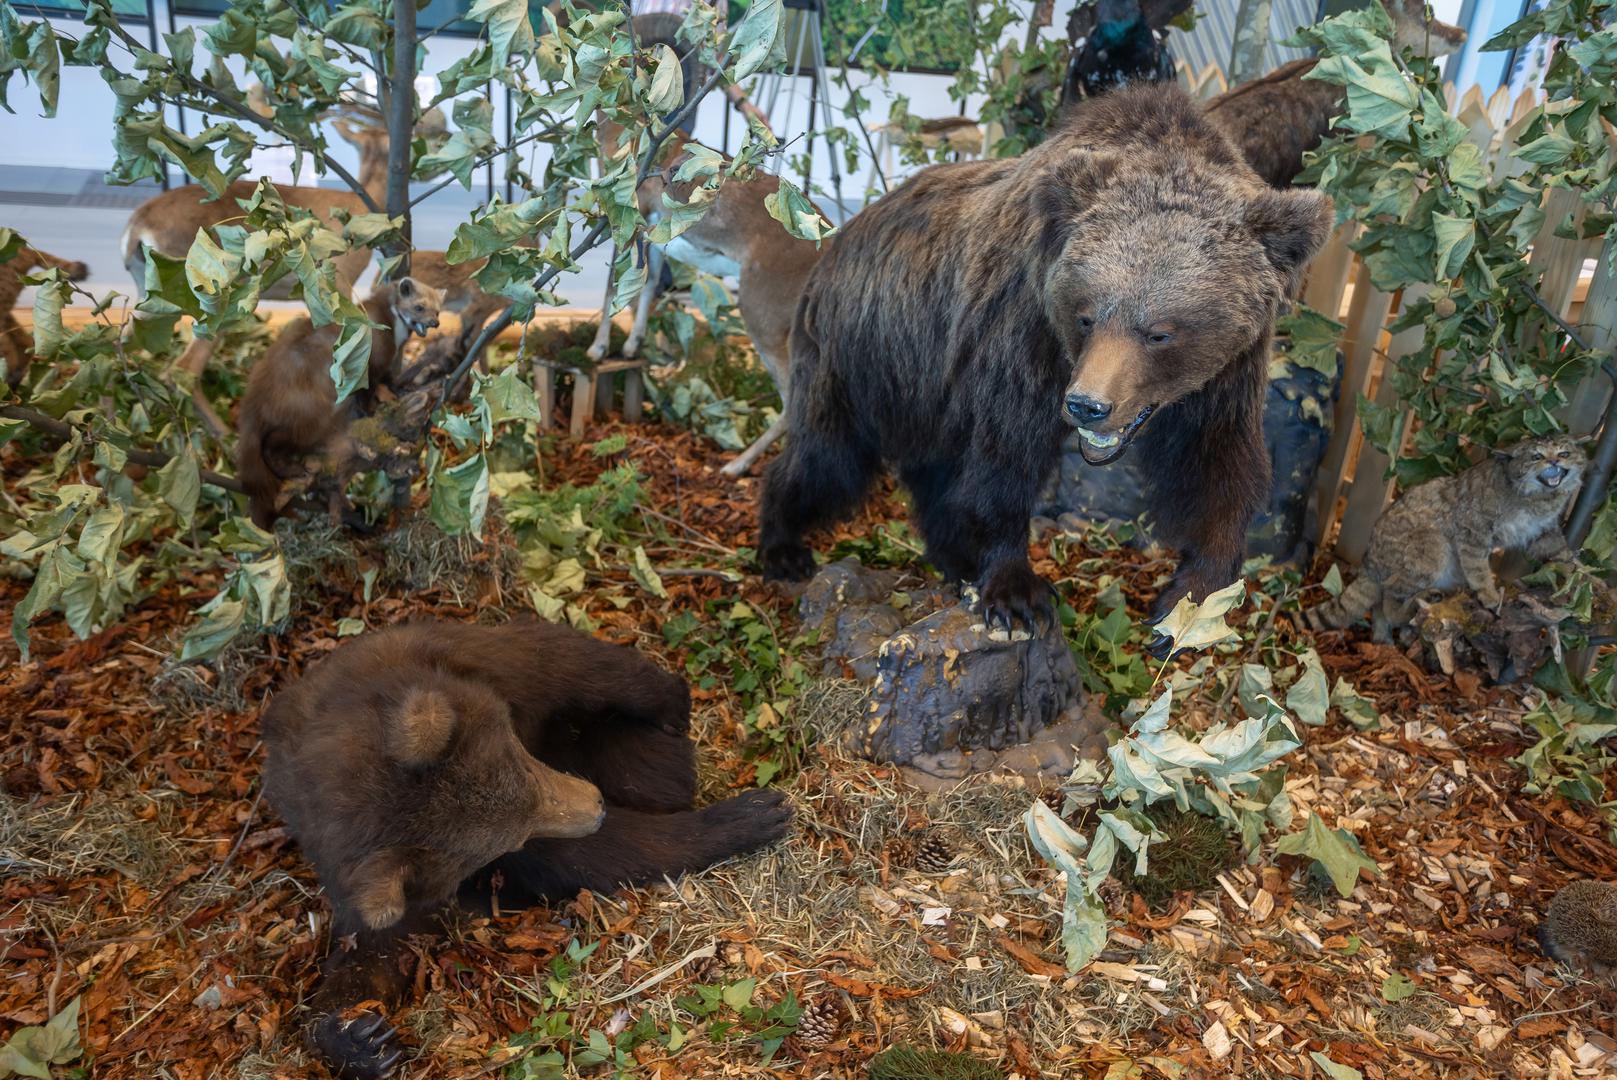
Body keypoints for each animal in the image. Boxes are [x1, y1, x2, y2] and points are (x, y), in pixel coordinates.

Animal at [236, 271, 446, 530]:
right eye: (419, 306)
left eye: (438, 310)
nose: (434, 323)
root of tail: (255, 400)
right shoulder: (372, 363)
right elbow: (369, 392)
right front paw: (375, 406)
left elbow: (389, 381)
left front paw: (399, 389)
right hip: (310, 418)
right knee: (272, 445)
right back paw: (296, 469)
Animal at [261, 620, 792, 1073]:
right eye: (506, 835)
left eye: (520, 758)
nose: (596, 807)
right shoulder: (378, 878)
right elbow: (371, 953)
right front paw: (361, 1038)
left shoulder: (473, 663)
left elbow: (571, 664)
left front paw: (674, 704)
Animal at [756, 84, 1325, 633]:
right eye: (1087, 315)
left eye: (1160, 333)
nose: (1088, 405)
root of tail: (836, 238)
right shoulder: (1021, 337)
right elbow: (1006, 461)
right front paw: (1017, 593)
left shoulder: (1227, 373)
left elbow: (1216, 464)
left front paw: (1192, 596)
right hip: (863, 354)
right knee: (829, 457)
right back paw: (783, 546)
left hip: (926, 384)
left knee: (929, 467)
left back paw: (954, 557)